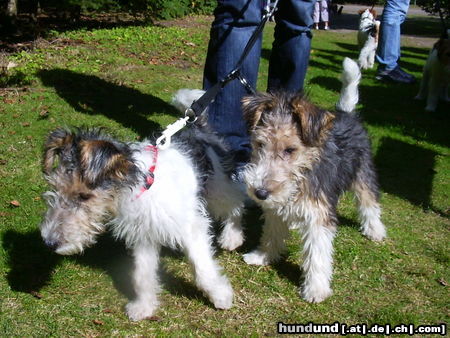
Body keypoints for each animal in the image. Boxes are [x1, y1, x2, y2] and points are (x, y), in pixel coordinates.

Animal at [39, 90, 246, 322]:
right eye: (55, 188)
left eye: (83, 196)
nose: (49, 242)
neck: (142, 186)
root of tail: (198, 126)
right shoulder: (143, 234)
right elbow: (142, 275)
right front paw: (144, 306)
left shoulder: (190, 228)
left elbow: (203, 269)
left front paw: (221, 296)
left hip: (218, 189)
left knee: (237, 202)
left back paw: (232, 237)